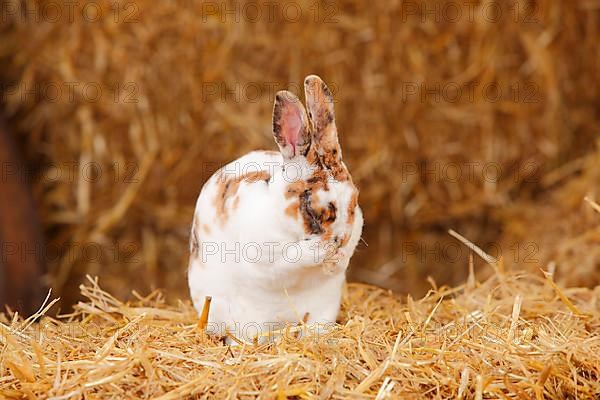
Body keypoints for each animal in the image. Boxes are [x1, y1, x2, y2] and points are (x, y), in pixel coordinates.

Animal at [188, 75, 364, 344]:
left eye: (354, 200)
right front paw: (322, 252)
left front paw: (336, 259)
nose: (338, 241)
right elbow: (291, 259)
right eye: (310, 209)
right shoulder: (267, 258)